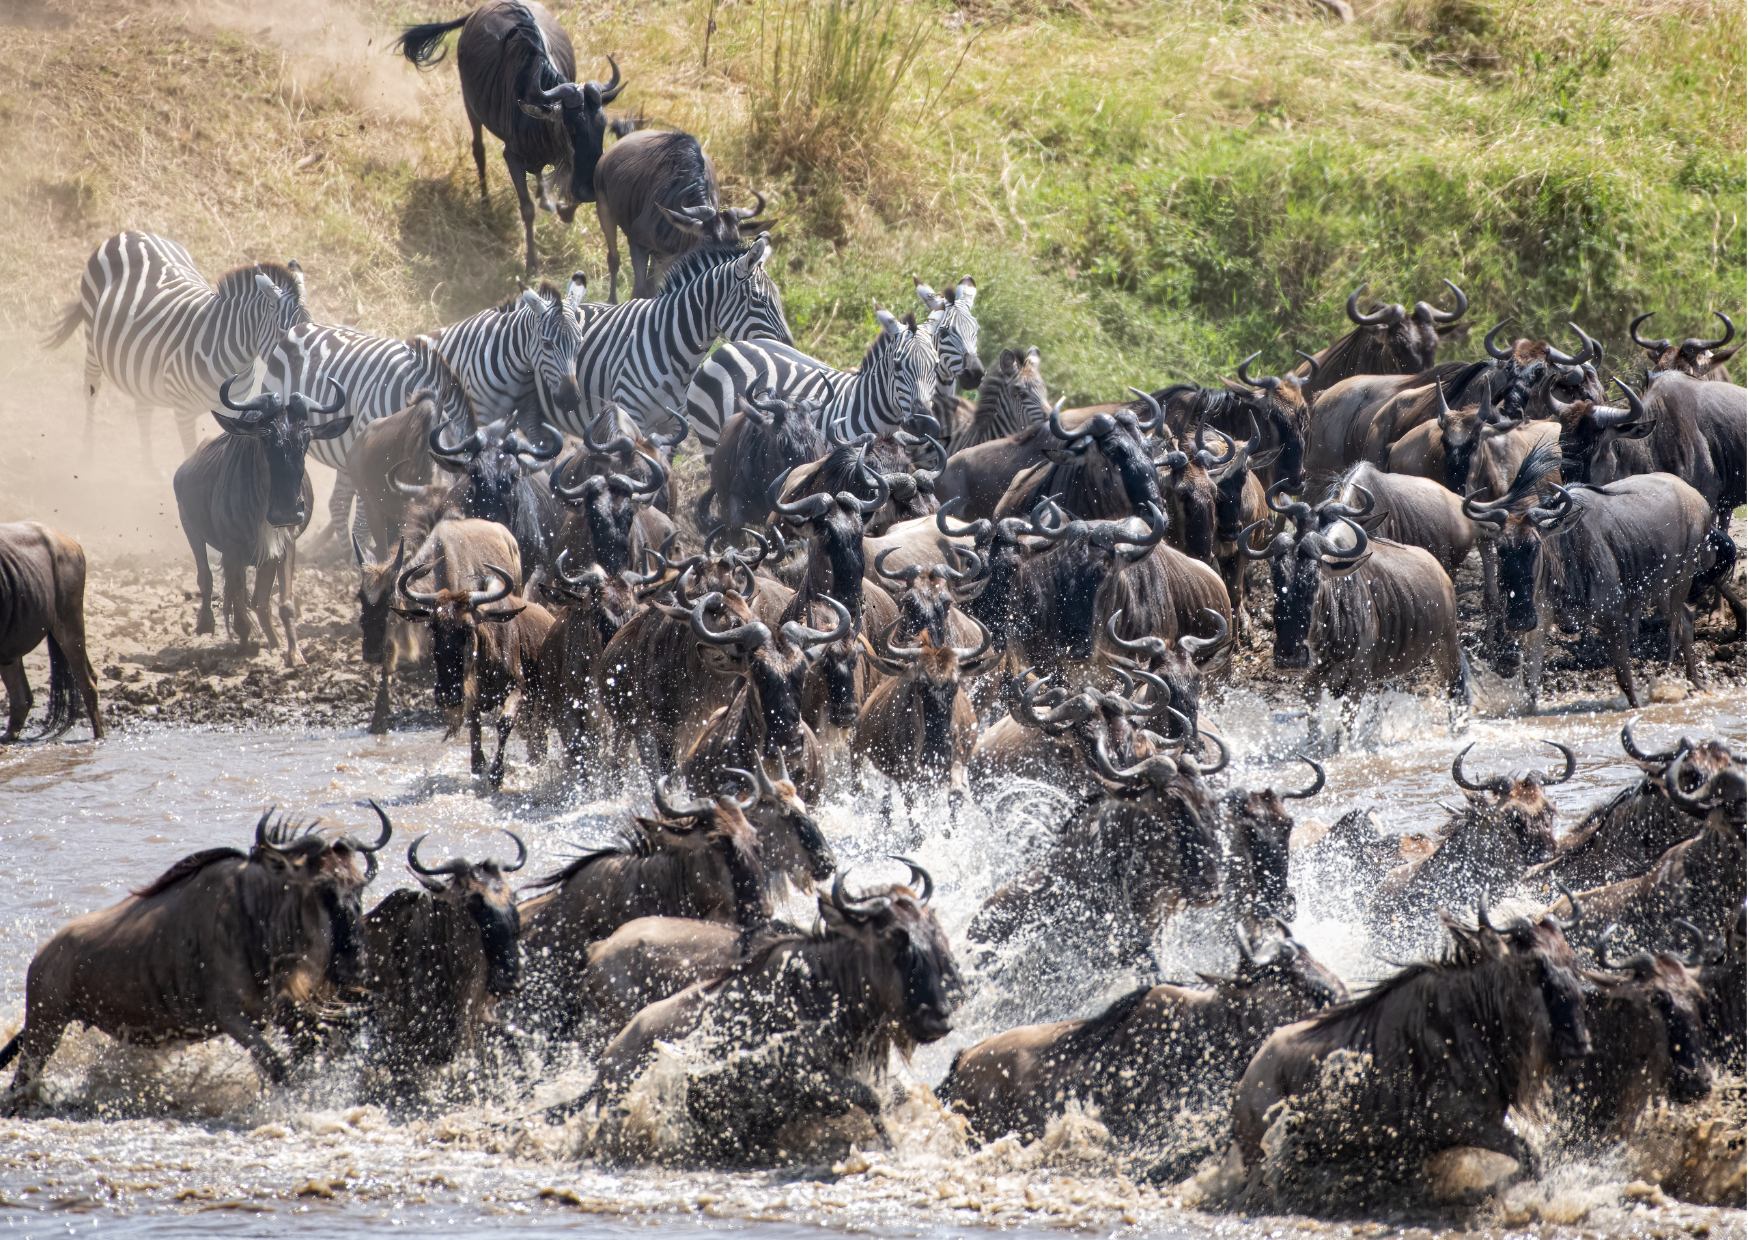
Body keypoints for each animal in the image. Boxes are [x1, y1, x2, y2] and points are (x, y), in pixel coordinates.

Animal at [43, 231, 310, 465]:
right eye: (285, 334)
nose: (302, 394)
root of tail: (130, 233)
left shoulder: (234, 409)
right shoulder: (184, 411)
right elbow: (190, 452)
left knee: (143, 406)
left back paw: (149, 468)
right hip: (92, 335)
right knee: (92, 388)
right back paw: (88, 455)